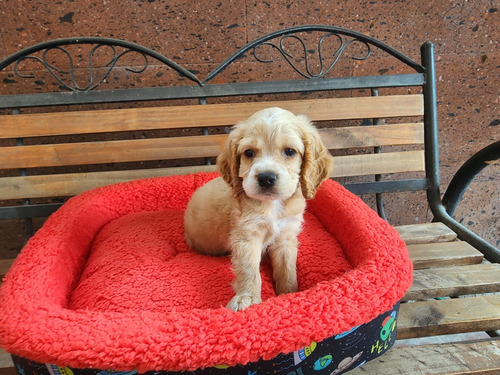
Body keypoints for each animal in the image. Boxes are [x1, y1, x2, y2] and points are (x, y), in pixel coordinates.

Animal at [184, 108, 332, 312]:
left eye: (290, 151)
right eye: (248, 152)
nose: (266, 178)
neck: (273, 205)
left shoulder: (286, 236)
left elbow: (287, 269)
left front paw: (289, 293)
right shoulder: (247, 235)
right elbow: (249, 270)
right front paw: (246, 298)